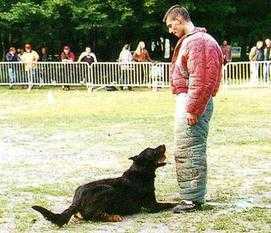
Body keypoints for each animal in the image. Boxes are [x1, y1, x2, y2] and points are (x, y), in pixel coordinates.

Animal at [32, 145, 176, 227]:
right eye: (153, 151)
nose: (163, 144)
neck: (140, 172)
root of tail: (77, 200)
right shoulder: (151, 206)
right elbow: (169, 204)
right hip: (108, 190)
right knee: (94, 216)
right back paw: (113, 216)